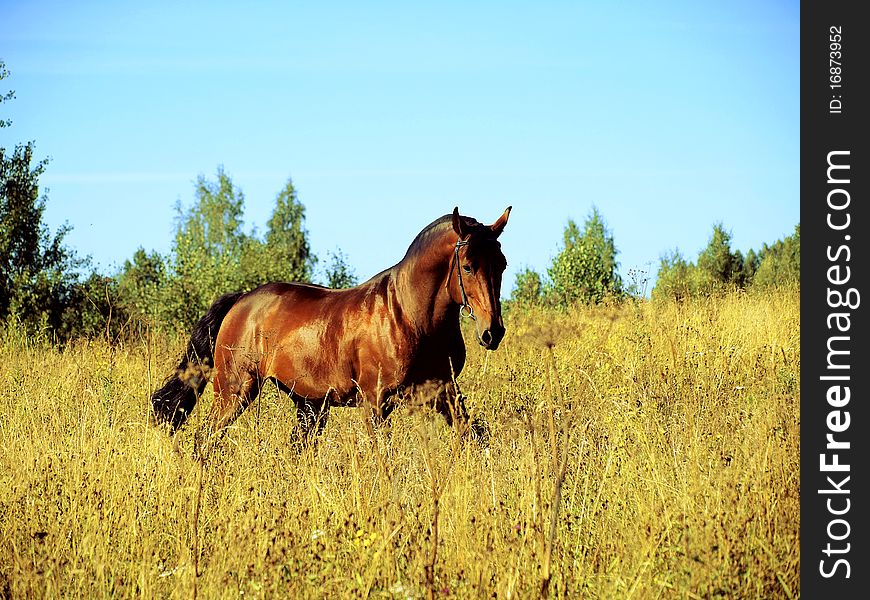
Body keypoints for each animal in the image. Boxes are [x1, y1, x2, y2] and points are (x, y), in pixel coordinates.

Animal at [152, 209, 510, 448]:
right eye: (467, 266)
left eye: (502, 264)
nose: (492, 333)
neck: (410, 317)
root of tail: (241, 301)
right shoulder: (376, 403)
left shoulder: (445, 392)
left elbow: (473, 436)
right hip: (234, 391)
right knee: (205, 439)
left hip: (309, 406)